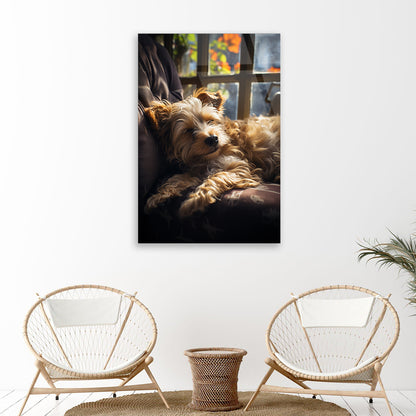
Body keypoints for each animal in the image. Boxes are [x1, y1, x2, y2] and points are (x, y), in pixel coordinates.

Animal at [145, 88, 282, 218]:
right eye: (188, 130)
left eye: (210, 121)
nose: (213, 139)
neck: (205, 159)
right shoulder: (196, 169)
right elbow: (176, 179)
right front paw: (158, 196)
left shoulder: (238, 165)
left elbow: (216, 177)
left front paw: (194, 201)